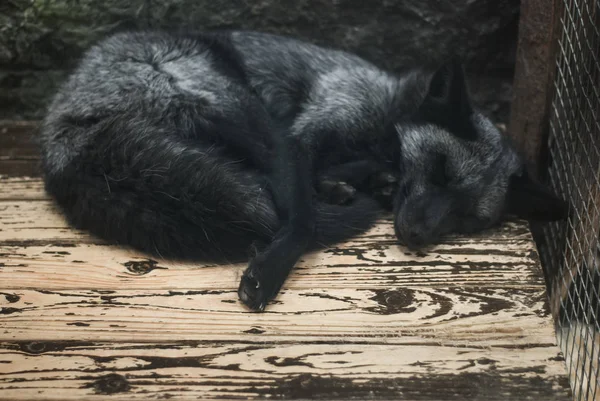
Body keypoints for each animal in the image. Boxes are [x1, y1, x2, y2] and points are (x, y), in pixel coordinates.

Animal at [38, 29, 568, 310]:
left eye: (467, 217)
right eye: (438, 169)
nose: (417, 235)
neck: (388, 110)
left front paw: (363, 180)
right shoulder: (304, 135)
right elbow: (302, 218)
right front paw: (269, 271)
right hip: (249, 114)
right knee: (271, 194)